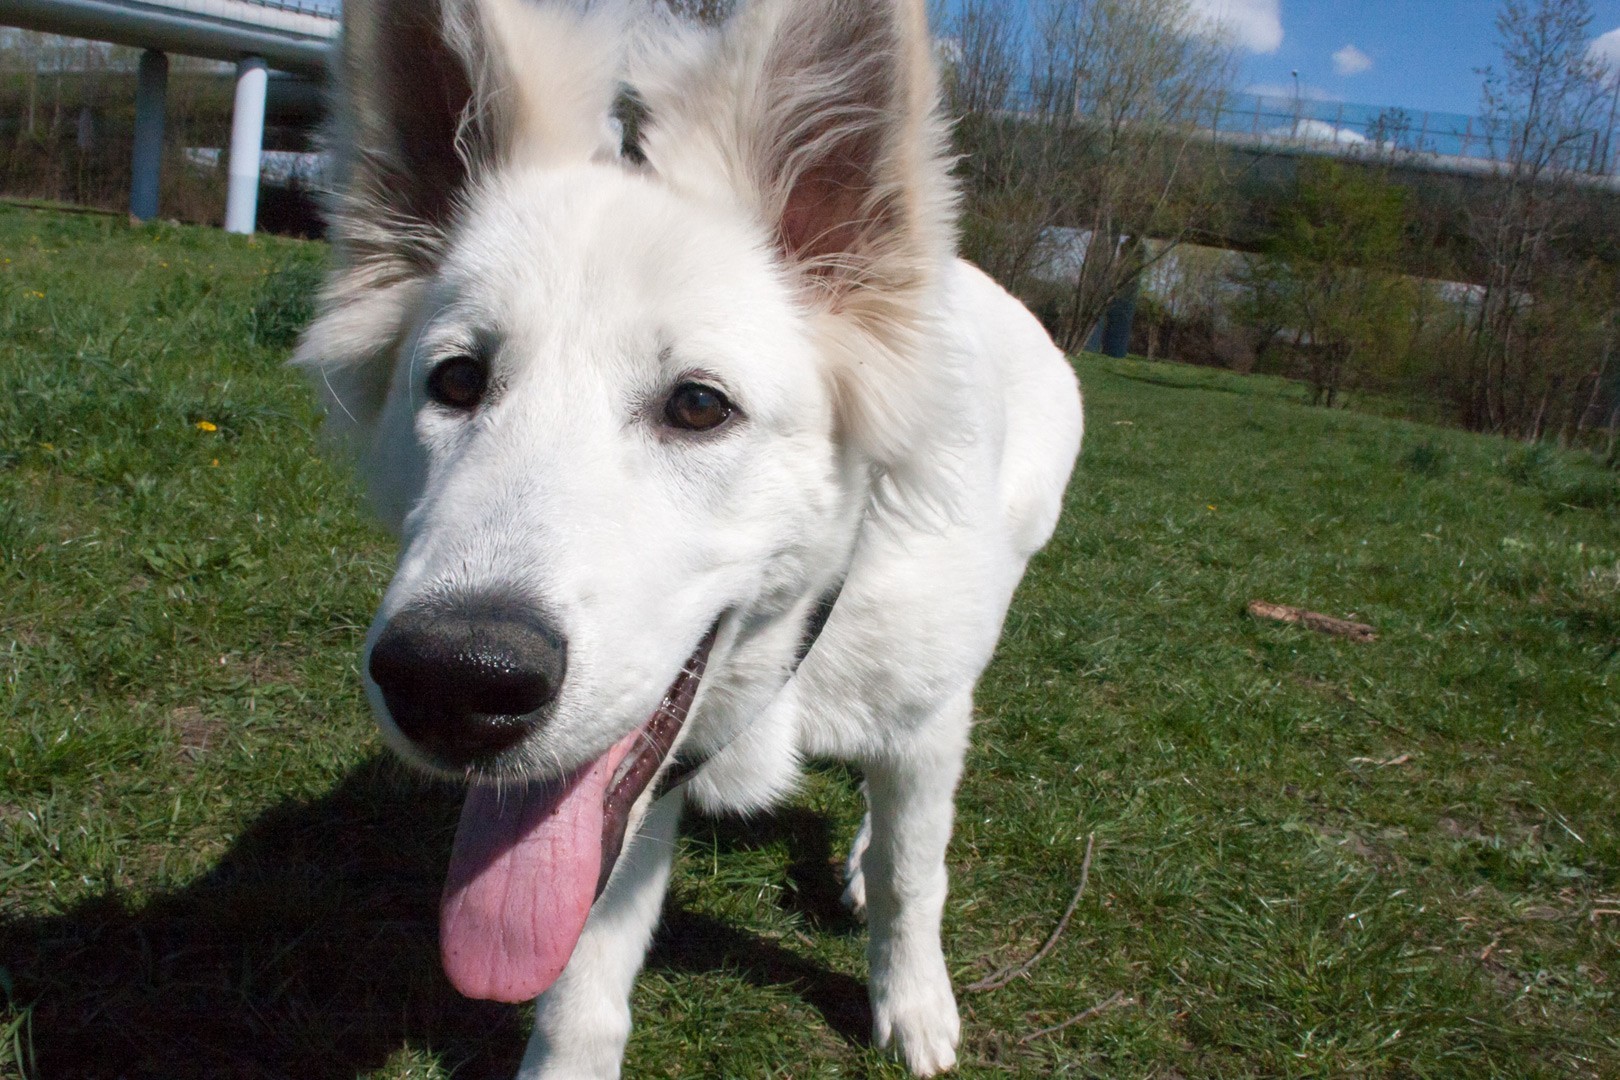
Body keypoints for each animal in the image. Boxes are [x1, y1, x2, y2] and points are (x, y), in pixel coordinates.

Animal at [295, 0, 1082, 1073]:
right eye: (455, 382)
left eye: (699, 406)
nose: (453, 681)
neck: (788, 648)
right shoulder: (624, 787)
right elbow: (581, 983)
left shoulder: (920, 722)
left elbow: (916, 875)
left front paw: (915, 1003)